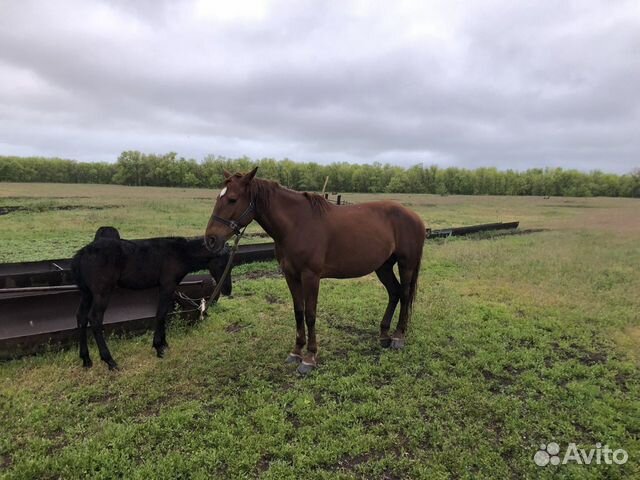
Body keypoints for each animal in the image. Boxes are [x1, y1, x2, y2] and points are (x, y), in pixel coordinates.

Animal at [71, 227, 231, 370]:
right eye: (222, 263)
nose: (227, 289)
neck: (179, 253)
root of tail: (81, 255)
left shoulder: (167, 287)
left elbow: (164, 314)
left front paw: (164, 344)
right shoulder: (167, 285)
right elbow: (160, 314)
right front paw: (158, 347)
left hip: (87, 293)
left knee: (81, 317)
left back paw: (86, 359)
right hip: (102, 292)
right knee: (95, 318)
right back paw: (109, 361)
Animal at [205, 167, 424, 374]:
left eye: (232, 200)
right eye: (218, 198)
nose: (211, 240)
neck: (296, 225)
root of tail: (415, 217)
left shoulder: (311, 276)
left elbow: (310, 314)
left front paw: (309, 358)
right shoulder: (291, 276)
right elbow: (298, 311)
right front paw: (296, 351)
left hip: (406, 265)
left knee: (404, 294)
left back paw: (398, 336)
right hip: (383, 266)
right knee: (394, 293)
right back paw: (384, 335)